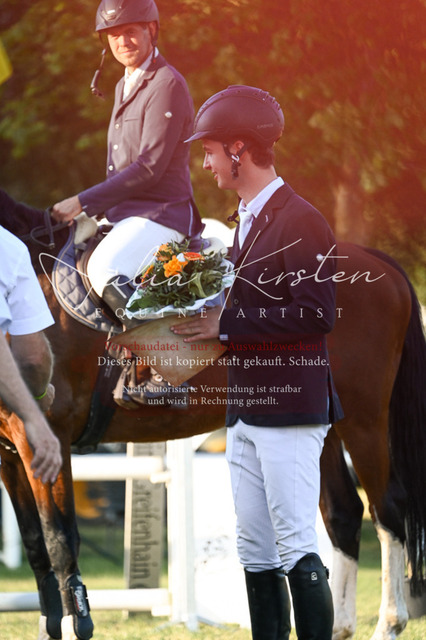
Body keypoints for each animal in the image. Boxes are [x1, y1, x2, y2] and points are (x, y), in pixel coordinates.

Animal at [0, 190, 425, 640]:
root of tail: (377, 262)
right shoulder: (10, 453)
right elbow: (34, 543)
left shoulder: (47, 438)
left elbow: (59, 538)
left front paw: (75, 623)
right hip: (319, 425)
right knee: (343, 511)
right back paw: (340, 626)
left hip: (364, 421)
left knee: (388, 508)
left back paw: (389, 623)